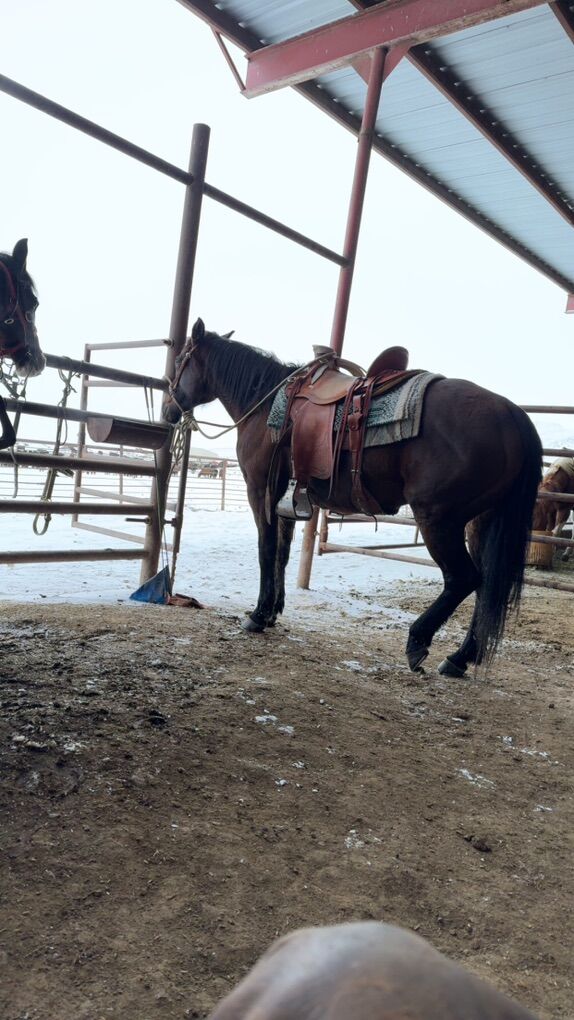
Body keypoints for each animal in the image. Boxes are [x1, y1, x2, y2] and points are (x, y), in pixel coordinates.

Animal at [163, 319, 542, 676]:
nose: (168, 409)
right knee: (486, 585)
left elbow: (266, 551)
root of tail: (512, 414)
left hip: (438, 519)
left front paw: (258, 615)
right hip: (480, 522)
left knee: (463, 578)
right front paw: (272, 612)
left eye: (181, 359)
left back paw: (418, 642)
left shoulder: (260, 492)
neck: (266, 405)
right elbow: (281, 554)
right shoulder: (284, 499)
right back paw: (459, 658)